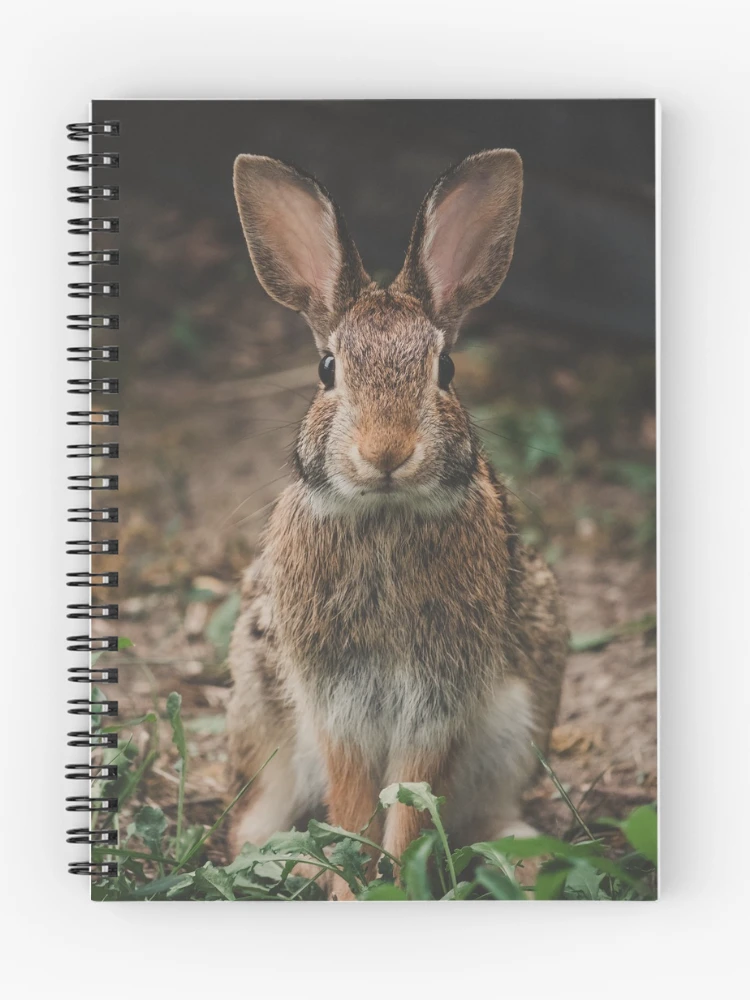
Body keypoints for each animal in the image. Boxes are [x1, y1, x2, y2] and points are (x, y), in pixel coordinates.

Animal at [226, 149, 568, 898]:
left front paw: (398, 883)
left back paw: (528, 860)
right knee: (251, 828)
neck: (383, 514)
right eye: (327, 369)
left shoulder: (439, 698)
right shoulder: (336, 700)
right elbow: (356, 800)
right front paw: (354, 885)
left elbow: (412, 802)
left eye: (446, 368)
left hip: (516, 729)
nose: (386, 452)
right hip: (266, 722)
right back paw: (298, 862)